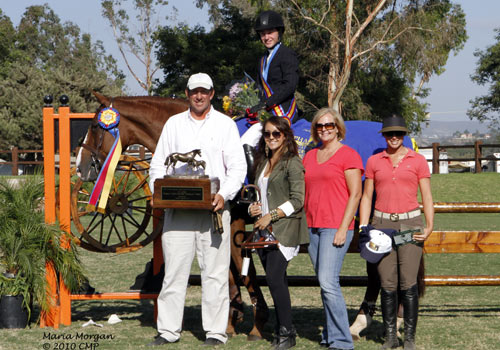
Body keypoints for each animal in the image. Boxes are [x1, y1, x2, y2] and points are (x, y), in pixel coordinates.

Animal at [75, 92, 268, 340]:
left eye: (94, 126)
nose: (80, 167)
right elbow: (232, 273)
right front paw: (232, 321)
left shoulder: (235, 221)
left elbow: (244, 272)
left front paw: (256, 325)